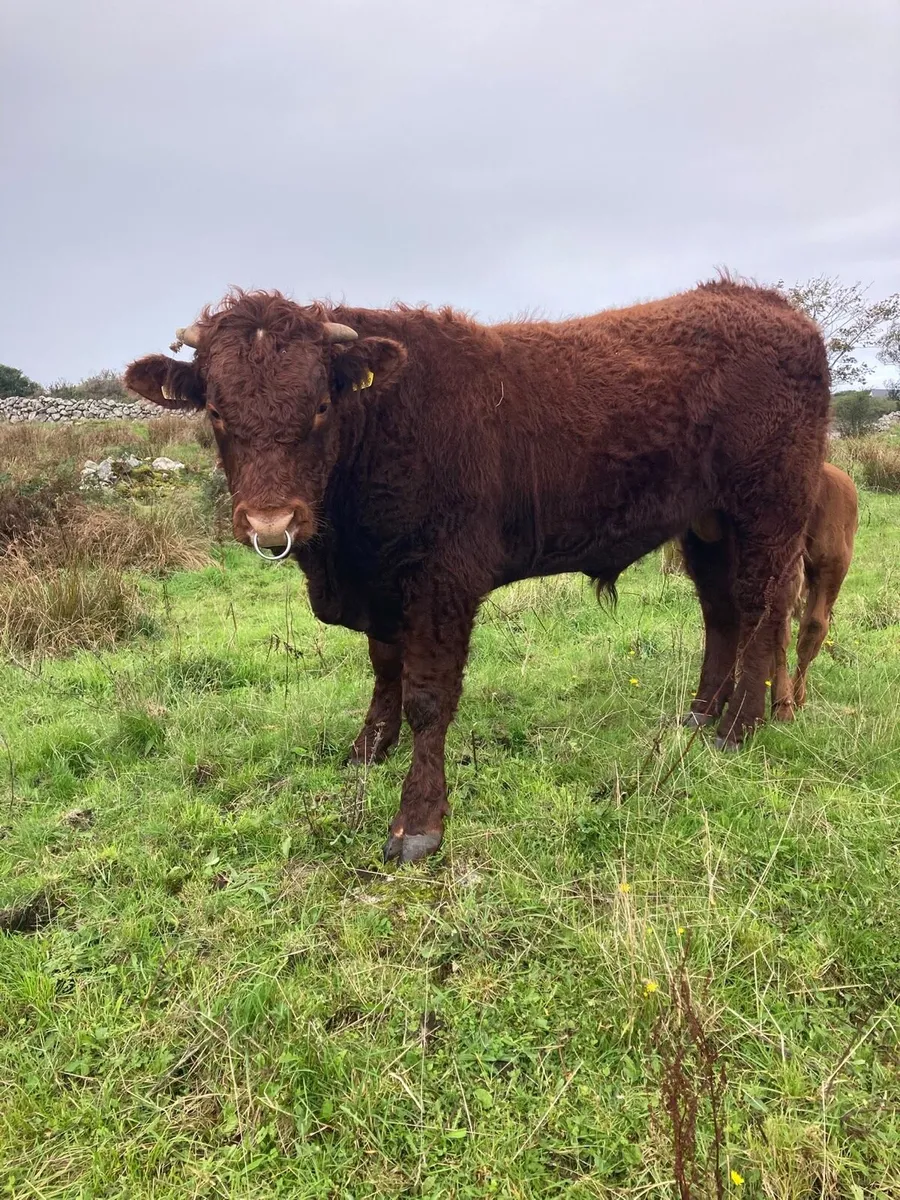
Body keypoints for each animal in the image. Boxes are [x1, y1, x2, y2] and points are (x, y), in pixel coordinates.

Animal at [125, 280, 830, 863]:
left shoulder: (443, 582)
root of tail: (770, 304)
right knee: (721, 612)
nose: (271, 522)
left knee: (762, 608)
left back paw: (739, 727)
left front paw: (417, 824)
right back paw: (701, 714)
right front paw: (366, 750)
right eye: (217, 411)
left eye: (321, 405)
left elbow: (427, 697)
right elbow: (385, 670)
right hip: (706, 525)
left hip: (768, 509)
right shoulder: (384, 583)